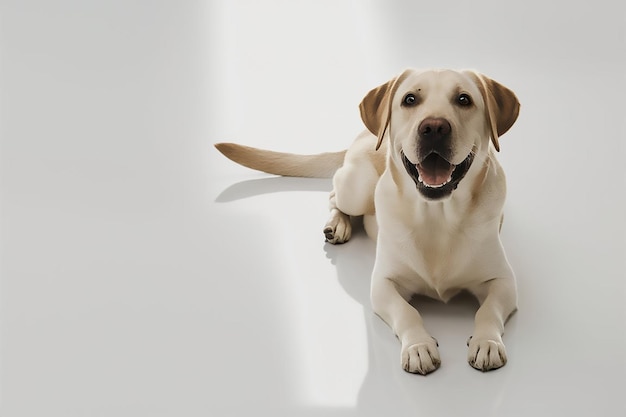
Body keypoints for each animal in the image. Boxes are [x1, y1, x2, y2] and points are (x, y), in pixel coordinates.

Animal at [217, 68, 520, 374]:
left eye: (463, 99)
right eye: (410, 99)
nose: (434, 128)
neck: (437, 218)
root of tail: (365, 133)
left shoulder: (504, 281)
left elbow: (488, 310)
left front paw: (486, 342)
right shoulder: (383, 283)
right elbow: (407, 312)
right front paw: (418, 346)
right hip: (357, 186)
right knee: (334, 194)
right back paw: (338, 224)